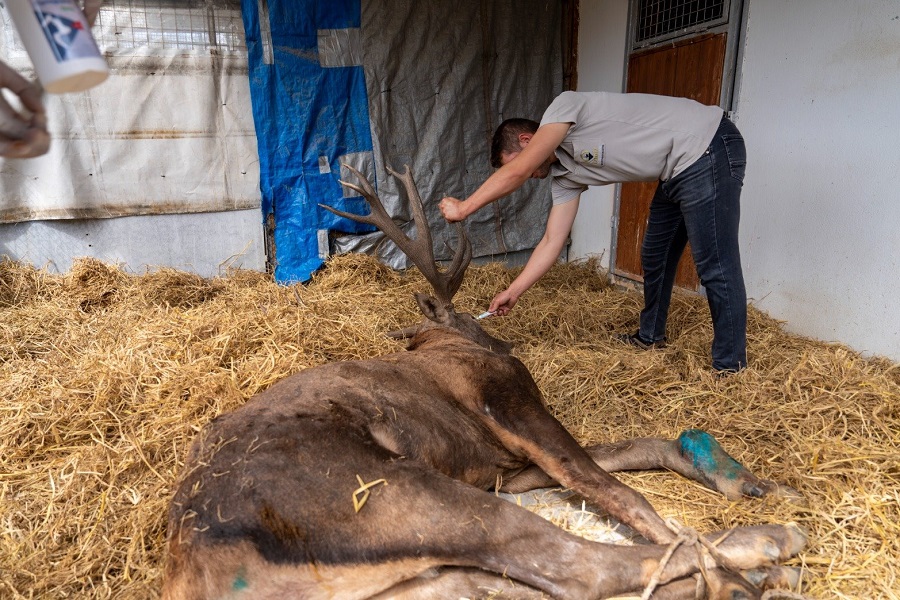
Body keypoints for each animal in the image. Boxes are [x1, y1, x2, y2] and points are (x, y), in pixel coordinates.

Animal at [163, 165, 808, 600]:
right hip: (400, 496)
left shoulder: (503, 463)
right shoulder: (507, 406)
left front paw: (744, 479)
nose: (502, 341)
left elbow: (631, 450)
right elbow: (611, 486)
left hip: (427, 574)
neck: (441, 344)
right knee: (578, 566)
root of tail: (200, 572)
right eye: (475, 322)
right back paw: (762, 553)